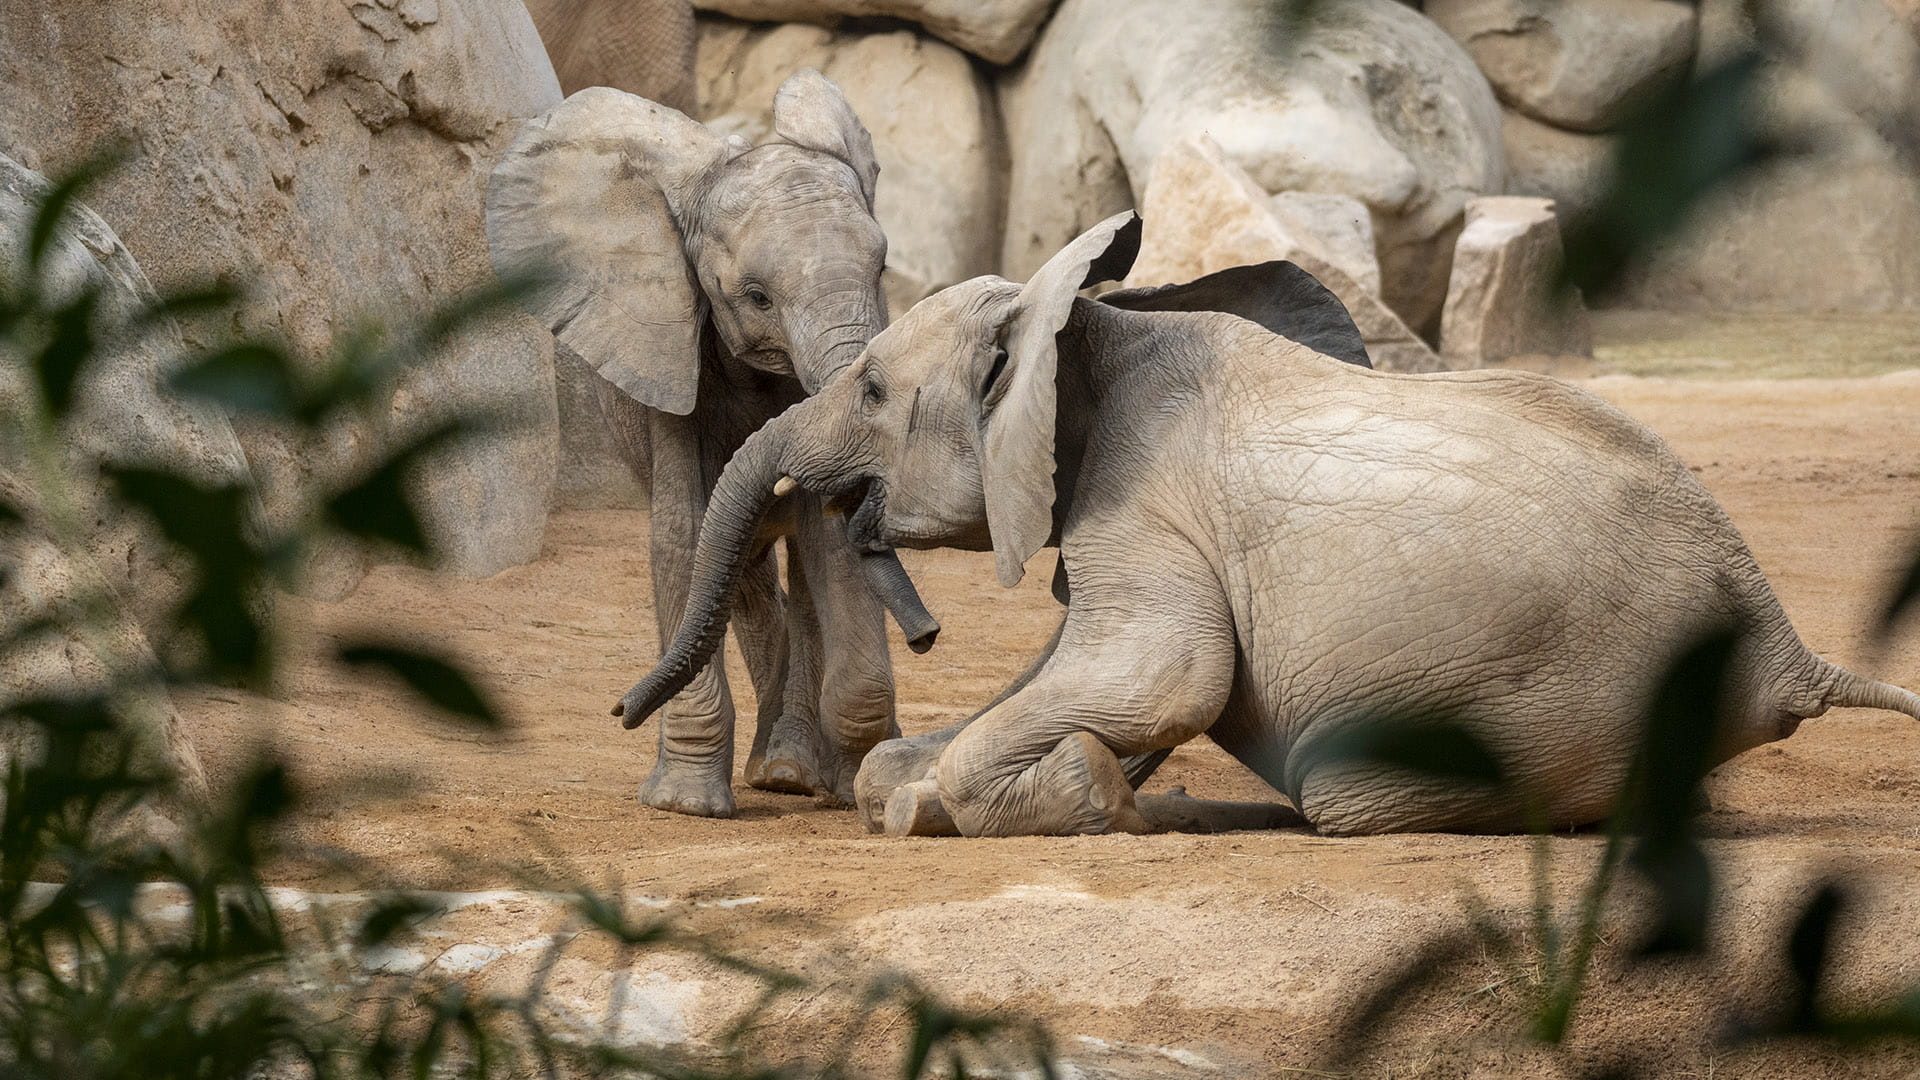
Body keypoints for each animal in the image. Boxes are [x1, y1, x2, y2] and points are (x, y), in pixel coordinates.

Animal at [488, 71, 936, 817]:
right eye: (756, 297)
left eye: (880, 272)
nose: (620, 711)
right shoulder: (671, 366)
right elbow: (683, 534)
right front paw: (684, 804)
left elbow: (827, 539)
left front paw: (859, 780)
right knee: (742, 573)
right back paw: (781, 769)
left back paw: (794, 772)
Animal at [610, 209, 1920, 838]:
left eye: (875, 391)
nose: (621, 712)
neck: (1086, 324)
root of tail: (1786, 646)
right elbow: (1088, 675)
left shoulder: (1144, 502)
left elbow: (1163, 676)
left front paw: (1056, 795)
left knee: (1349, 792)